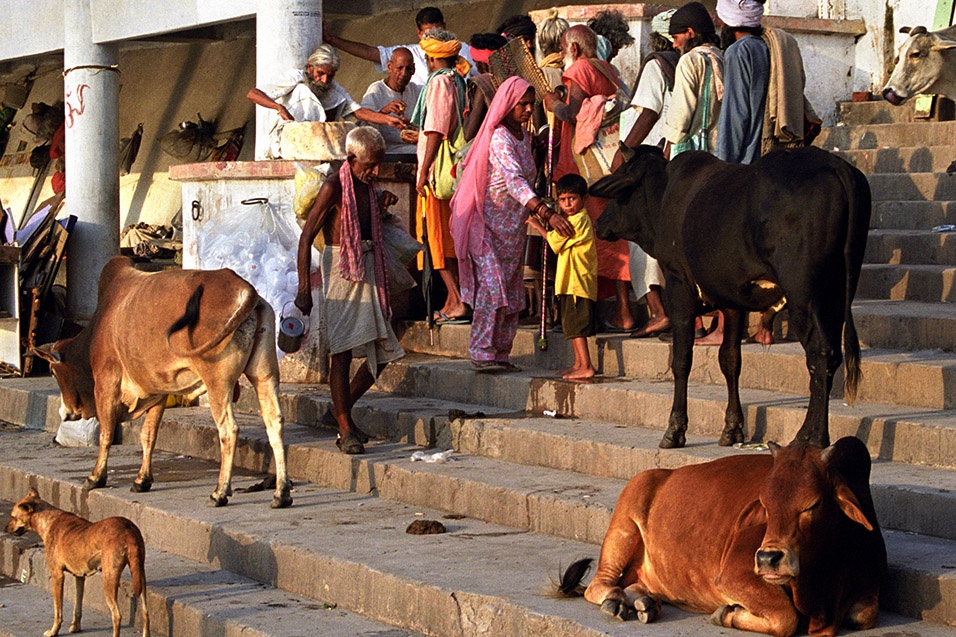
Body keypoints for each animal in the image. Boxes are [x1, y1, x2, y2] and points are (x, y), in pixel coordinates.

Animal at [6, 490, 149, 632]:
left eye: (13, 517)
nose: (5, 529)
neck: (49, 521)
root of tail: (128, 530)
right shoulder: (79, 576)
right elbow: (77, 605)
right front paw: (75, 626)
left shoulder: (57, 576)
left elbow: (58, 611)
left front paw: (53, 632)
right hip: (140, 575)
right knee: (145, 612)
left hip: (109, 578)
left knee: (117, 615)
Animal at [34, 256, 292, 510]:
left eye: (53, 372)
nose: (66, 413)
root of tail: (246, 289)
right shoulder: (157, 391)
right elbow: (148, 435)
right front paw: (142, 480)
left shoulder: (106, 383)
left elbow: (105, 434)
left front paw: (96, 477)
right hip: (265, 374)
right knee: (275, 423)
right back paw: (281, 493)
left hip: (218, 382)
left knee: (228, 430)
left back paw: (219, 493)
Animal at [564, 438, 884, 636]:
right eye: (765, 504)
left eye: (812, 505)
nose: (768, 559)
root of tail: (660, 474)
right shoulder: (733, 576)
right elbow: (785, 619)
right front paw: (725, 613)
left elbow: (863, 616)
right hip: (624, 522)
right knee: (599, 585)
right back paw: (616, 601)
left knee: (634, 586)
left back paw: (645, 603)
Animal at [596, 147, 872, 450]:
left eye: (620, 179)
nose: (599, 223)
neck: (664, 195)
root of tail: (835, 165)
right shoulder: (732, 301)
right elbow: (730, 361)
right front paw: (732, 428)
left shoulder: (679, 287)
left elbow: (681, 360)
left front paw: (675, 429)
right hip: (837, 295)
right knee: (828, 358)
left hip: (805, 298)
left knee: (820, 356)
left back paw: (813, 437)